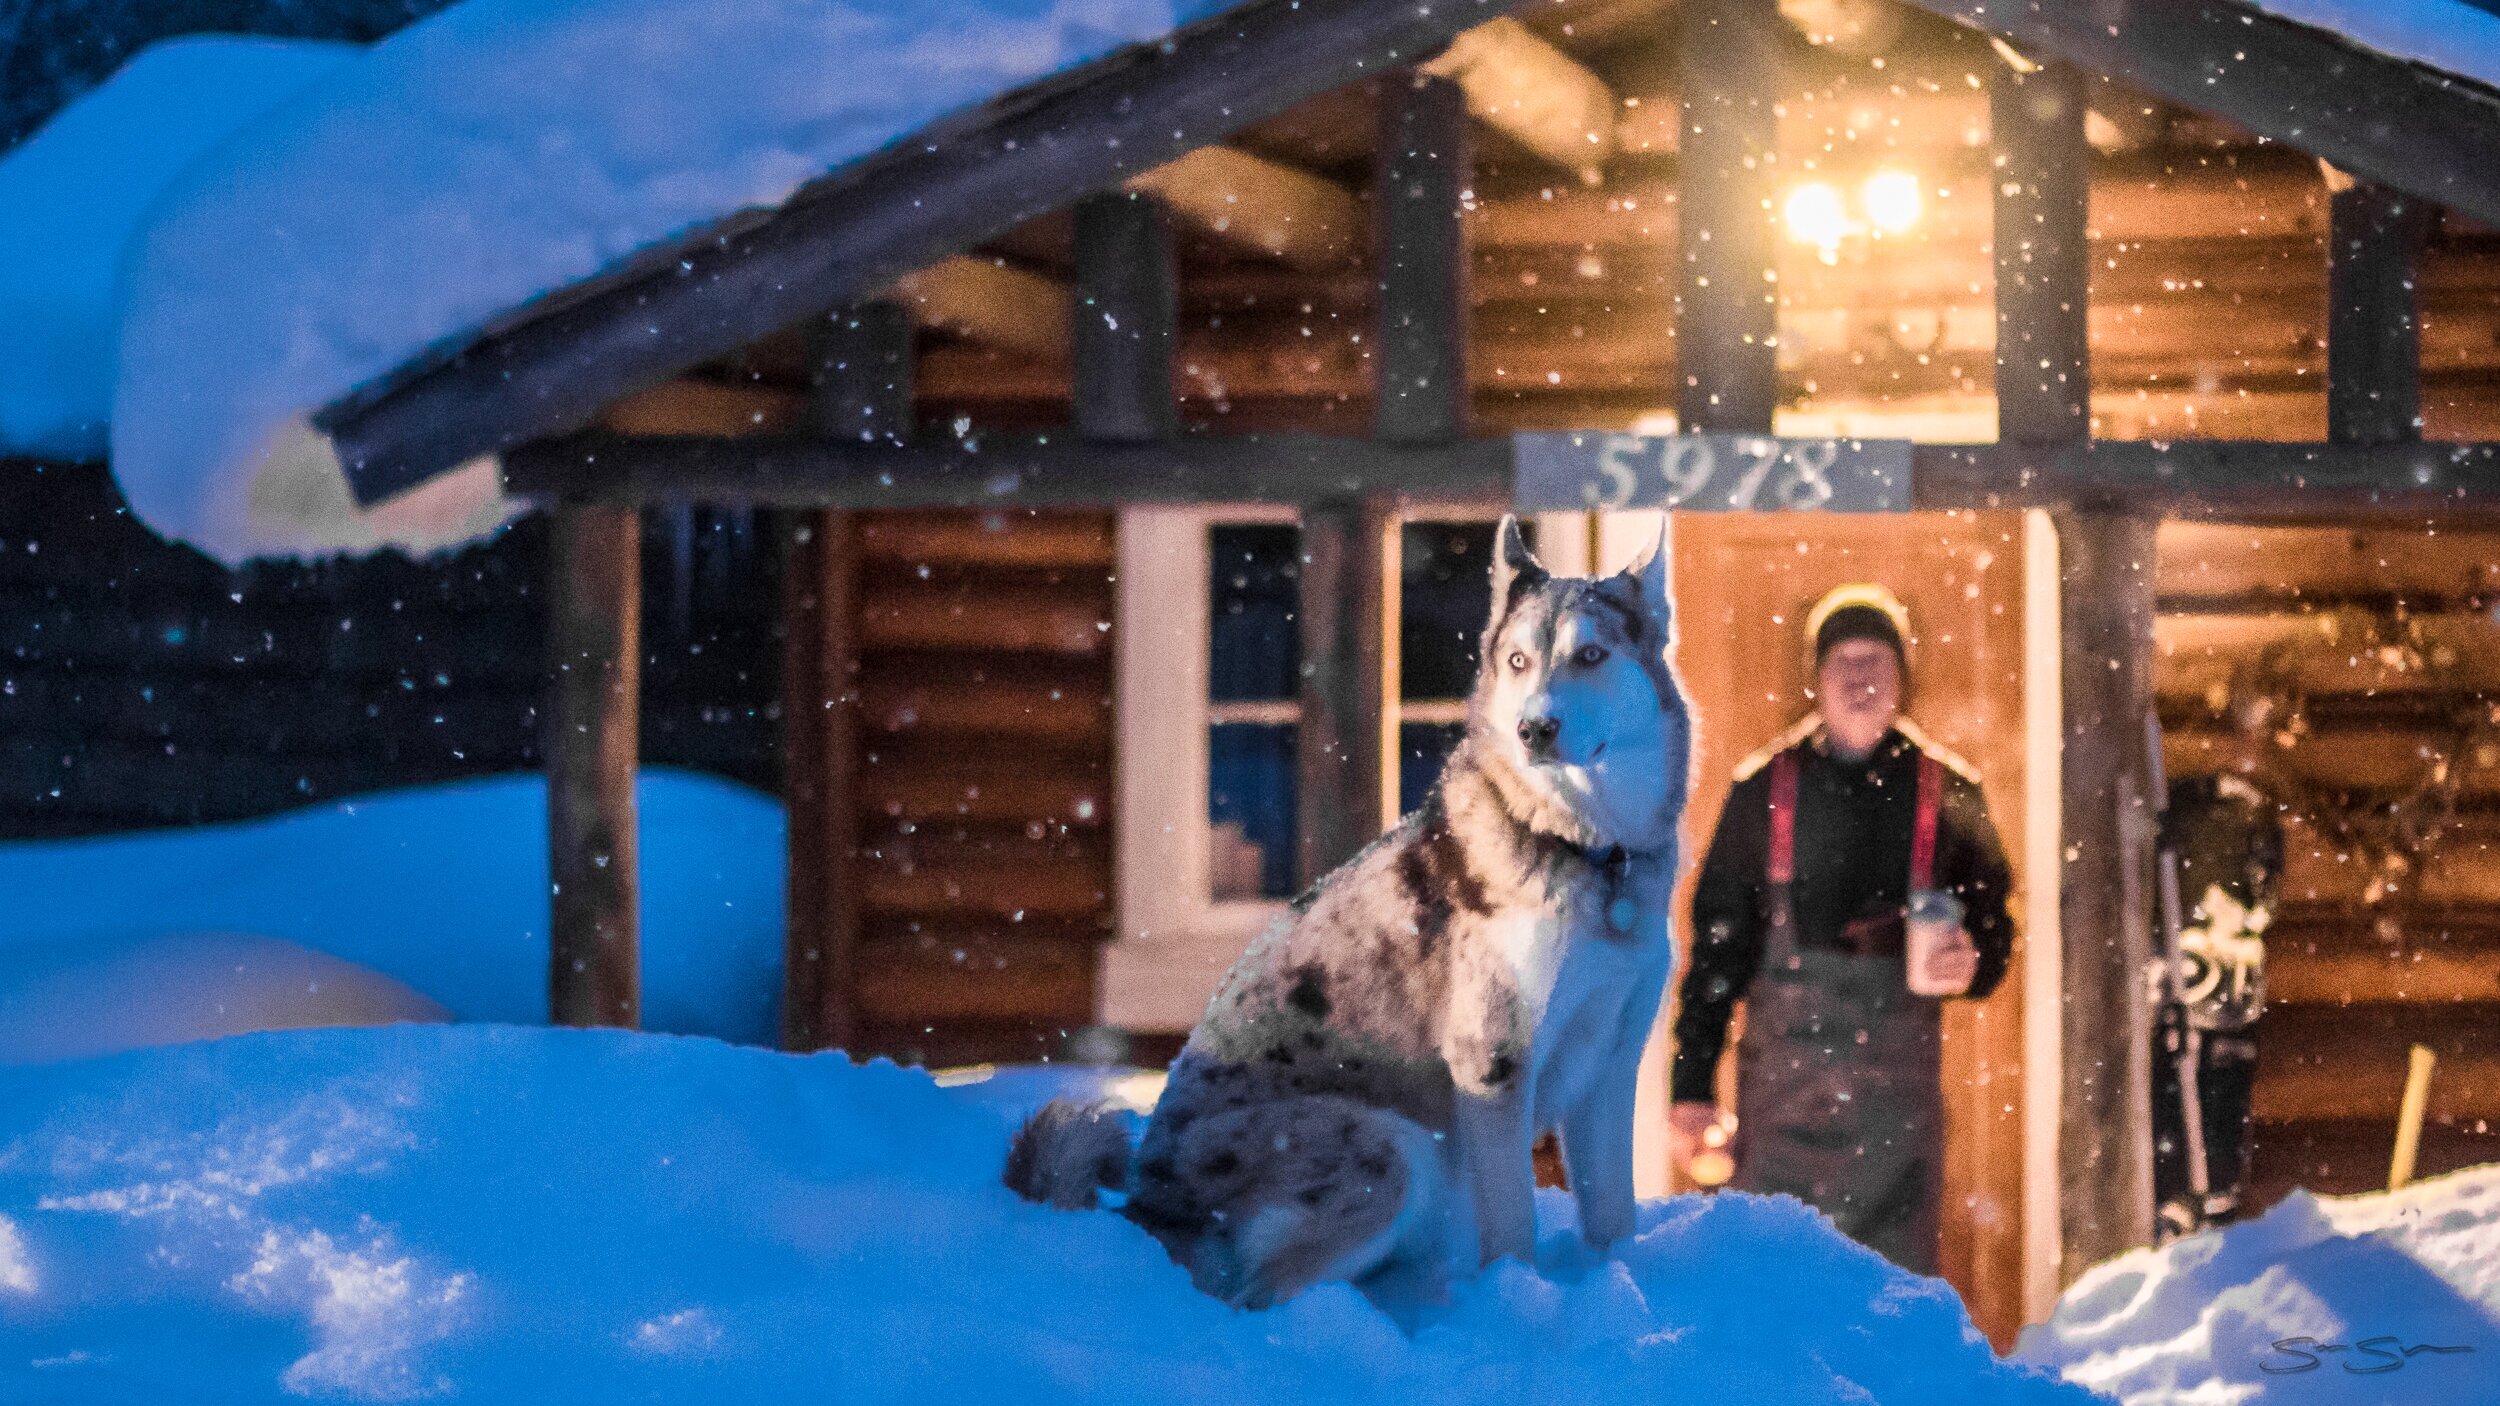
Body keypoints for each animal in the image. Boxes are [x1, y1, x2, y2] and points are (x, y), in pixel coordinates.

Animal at [1005, 517, 1690, 1300]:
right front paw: (1519, 1305)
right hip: (1395, 1148)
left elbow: (1614, 1220)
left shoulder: (1608, 1067)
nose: (1533, 729)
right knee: (1257, 1295)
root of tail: (1147, 1211)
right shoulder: (1493, 1066)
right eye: (1519, 661)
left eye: (1590, 655)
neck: (1589, 848)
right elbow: (1515, 1232)